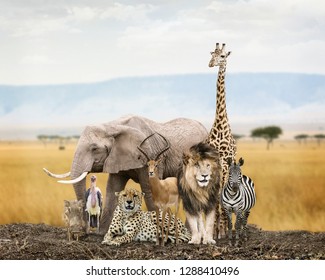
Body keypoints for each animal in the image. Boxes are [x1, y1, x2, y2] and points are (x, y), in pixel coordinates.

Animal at [43, 114, 206, 234]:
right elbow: (112, 189)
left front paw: (156, 231)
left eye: (94, 149)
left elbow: (149, 190)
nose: (87, 231)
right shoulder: (117, 158)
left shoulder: (150, 155)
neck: (113, 126)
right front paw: (103, 233)